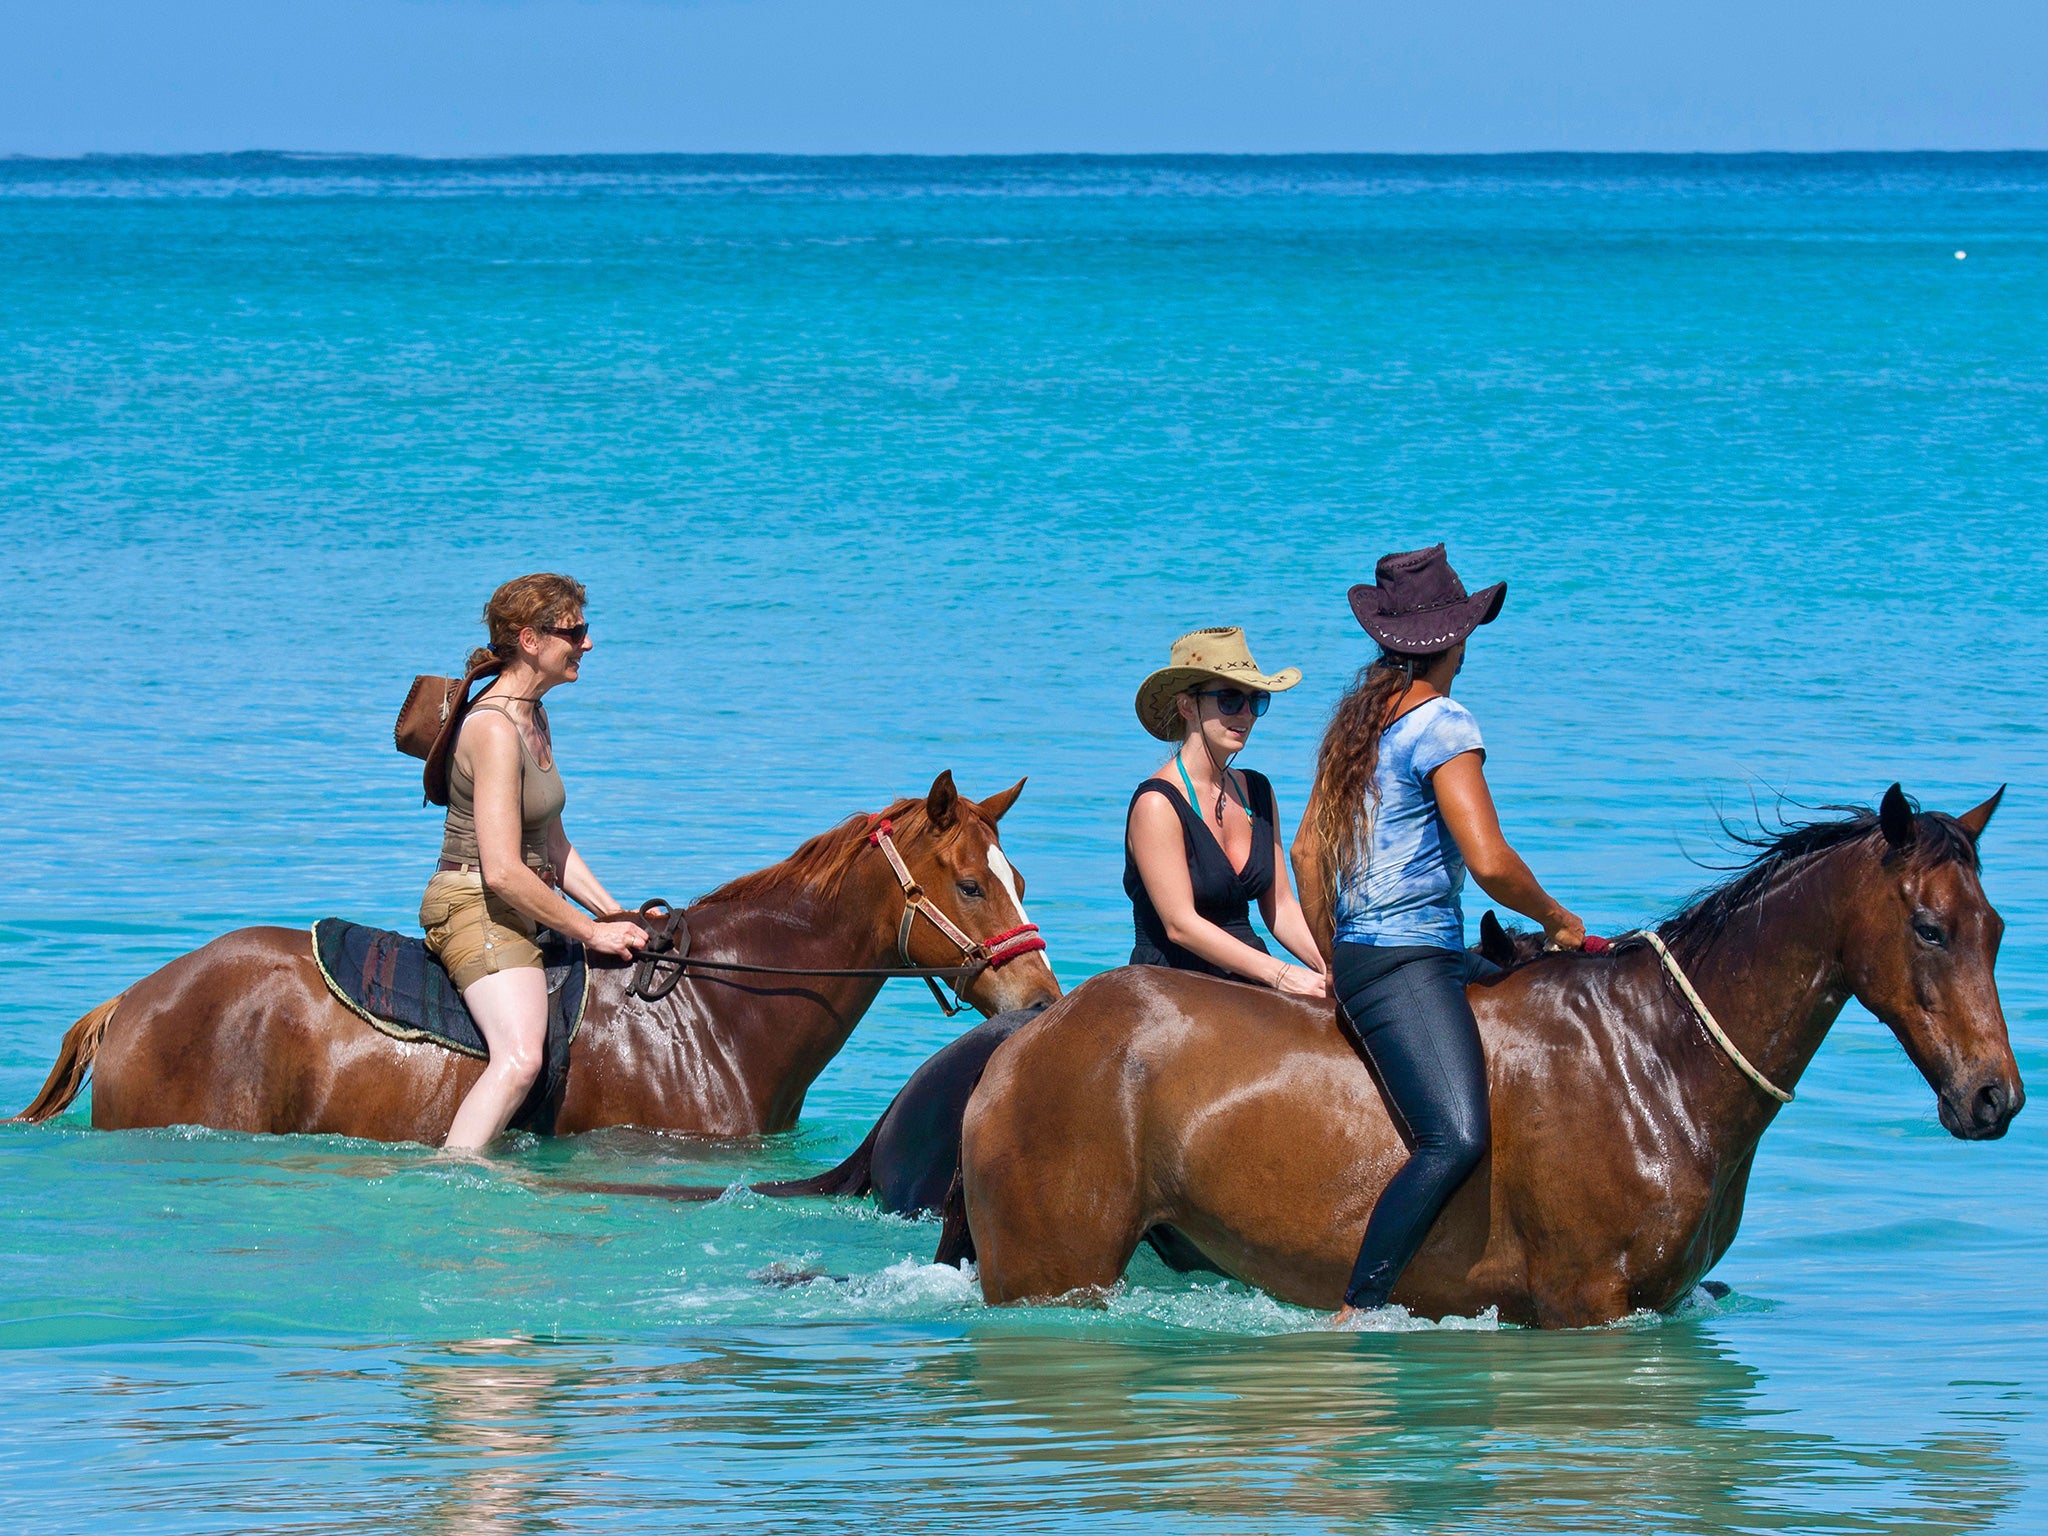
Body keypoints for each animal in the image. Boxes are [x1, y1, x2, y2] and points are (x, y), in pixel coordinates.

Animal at [958, 786, 2015, 1327]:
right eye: (1928, 929)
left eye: (1996, 929)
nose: (1993, 1099)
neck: (1657, 1062)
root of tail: (1026, 1038)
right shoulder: (1587, 1307)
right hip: (1051, 1271)